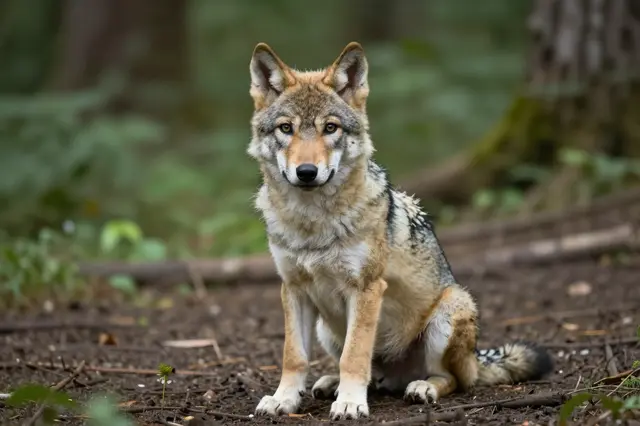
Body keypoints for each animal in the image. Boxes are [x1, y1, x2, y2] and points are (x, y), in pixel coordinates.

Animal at [246, 41, 553, 421]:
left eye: (330, 128)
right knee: (372, 374)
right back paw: (333, 383)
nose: (306, 172)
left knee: (452, 380)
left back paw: (420, 388)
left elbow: (354, 356)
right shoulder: (293, 289)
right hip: (326, 329)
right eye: (286, 128)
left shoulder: (366, 289)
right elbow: (294, 356)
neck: (312, 224)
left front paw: (350, 403)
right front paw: (284, 399)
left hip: (450, 310)